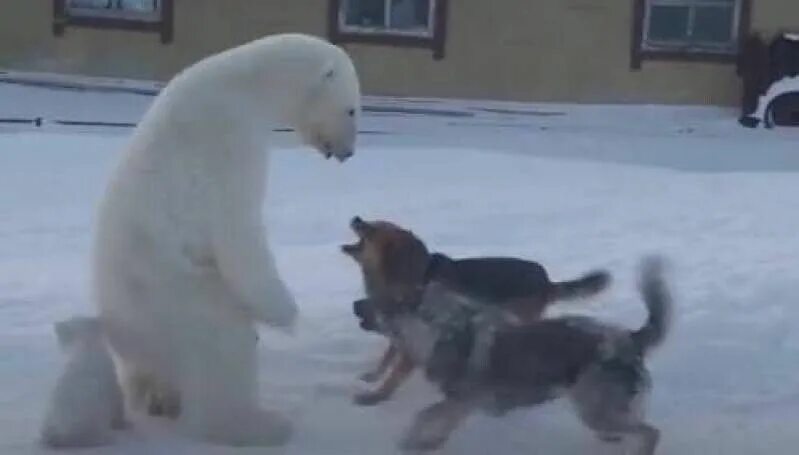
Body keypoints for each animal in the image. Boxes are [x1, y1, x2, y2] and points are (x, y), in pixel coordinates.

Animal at [92, 33, 360, 448]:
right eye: (351, 110)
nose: (348, 152)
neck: (245, 84)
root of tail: (122, 332)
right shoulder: (228, 137)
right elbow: (238, 231)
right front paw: (286, 313)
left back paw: (158, 399)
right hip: (175, 298)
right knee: (222, 347)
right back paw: (261, 424)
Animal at [340, 217, 608, 406]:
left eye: (374, 228)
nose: (356, 217)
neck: (410, 274)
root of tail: (546, 279)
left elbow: (395, 374)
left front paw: (376, 396)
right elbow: (387, 357)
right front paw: (373, 376)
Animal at [378, 255, 672, 454]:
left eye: (390, 303)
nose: (365, 307)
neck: (445, 330)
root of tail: (629, 337)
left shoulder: (463, 399)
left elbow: (424, 416)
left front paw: (412, 440)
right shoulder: (462, 404)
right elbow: (438, 424)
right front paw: (427, 443)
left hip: (597, 412)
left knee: (651, 433)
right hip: (600, 413)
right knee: (633, 428)